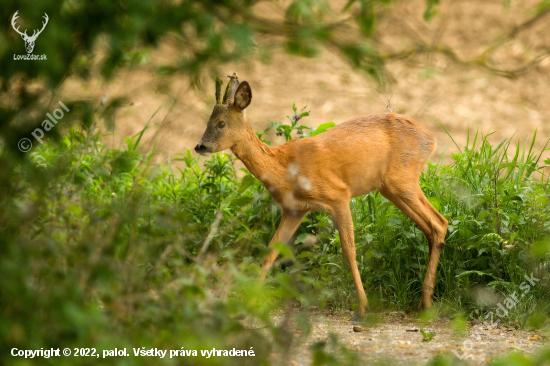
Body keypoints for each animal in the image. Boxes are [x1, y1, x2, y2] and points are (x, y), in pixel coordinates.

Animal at [196, 73, 450, 316]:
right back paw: (423, 303)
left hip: (402, 179)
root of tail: (431, 139)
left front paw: (362, 307)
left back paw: (425, 303)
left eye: (221, 123)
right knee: (431, 228)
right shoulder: (294, 210)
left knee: (439, 222)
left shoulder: (338, 195)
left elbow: (349, 250)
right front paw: (250, 300)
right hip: (389, 188)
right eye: (207, 120)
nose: (200, 146)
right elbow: (271, 251)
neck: (284, 168)